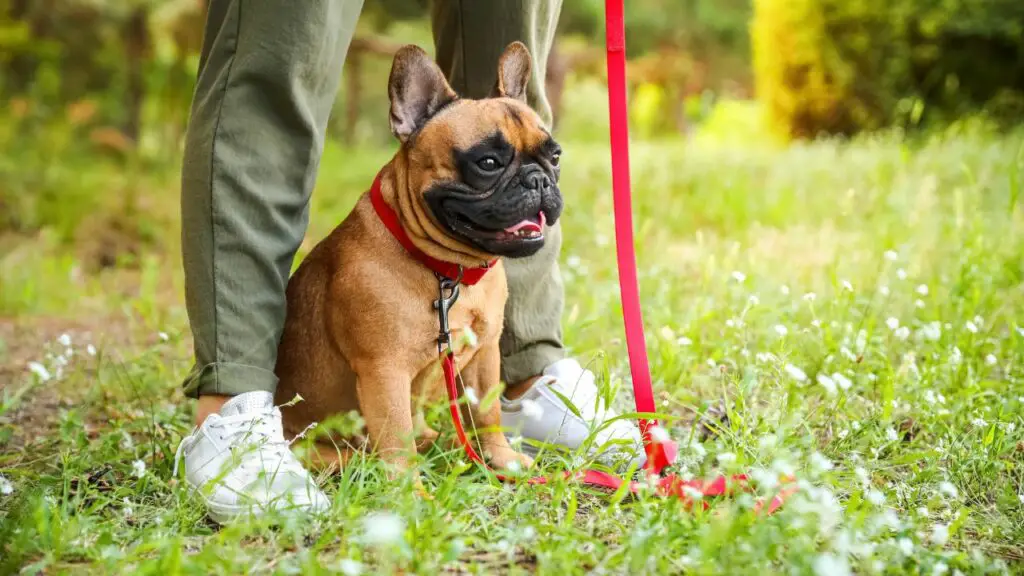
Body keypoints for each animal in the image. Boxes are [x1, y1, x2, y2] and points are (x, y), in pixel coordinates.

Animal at [276, 41, 565, 471]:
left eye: (555, 156)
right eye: (488, 163)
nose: (539, 179)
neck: (449, 270)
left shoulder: (485, 356)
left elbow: (488, 414)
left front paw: (501, 460)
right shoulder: (384, 373)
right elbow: (398, 445)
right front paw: (408, 489)